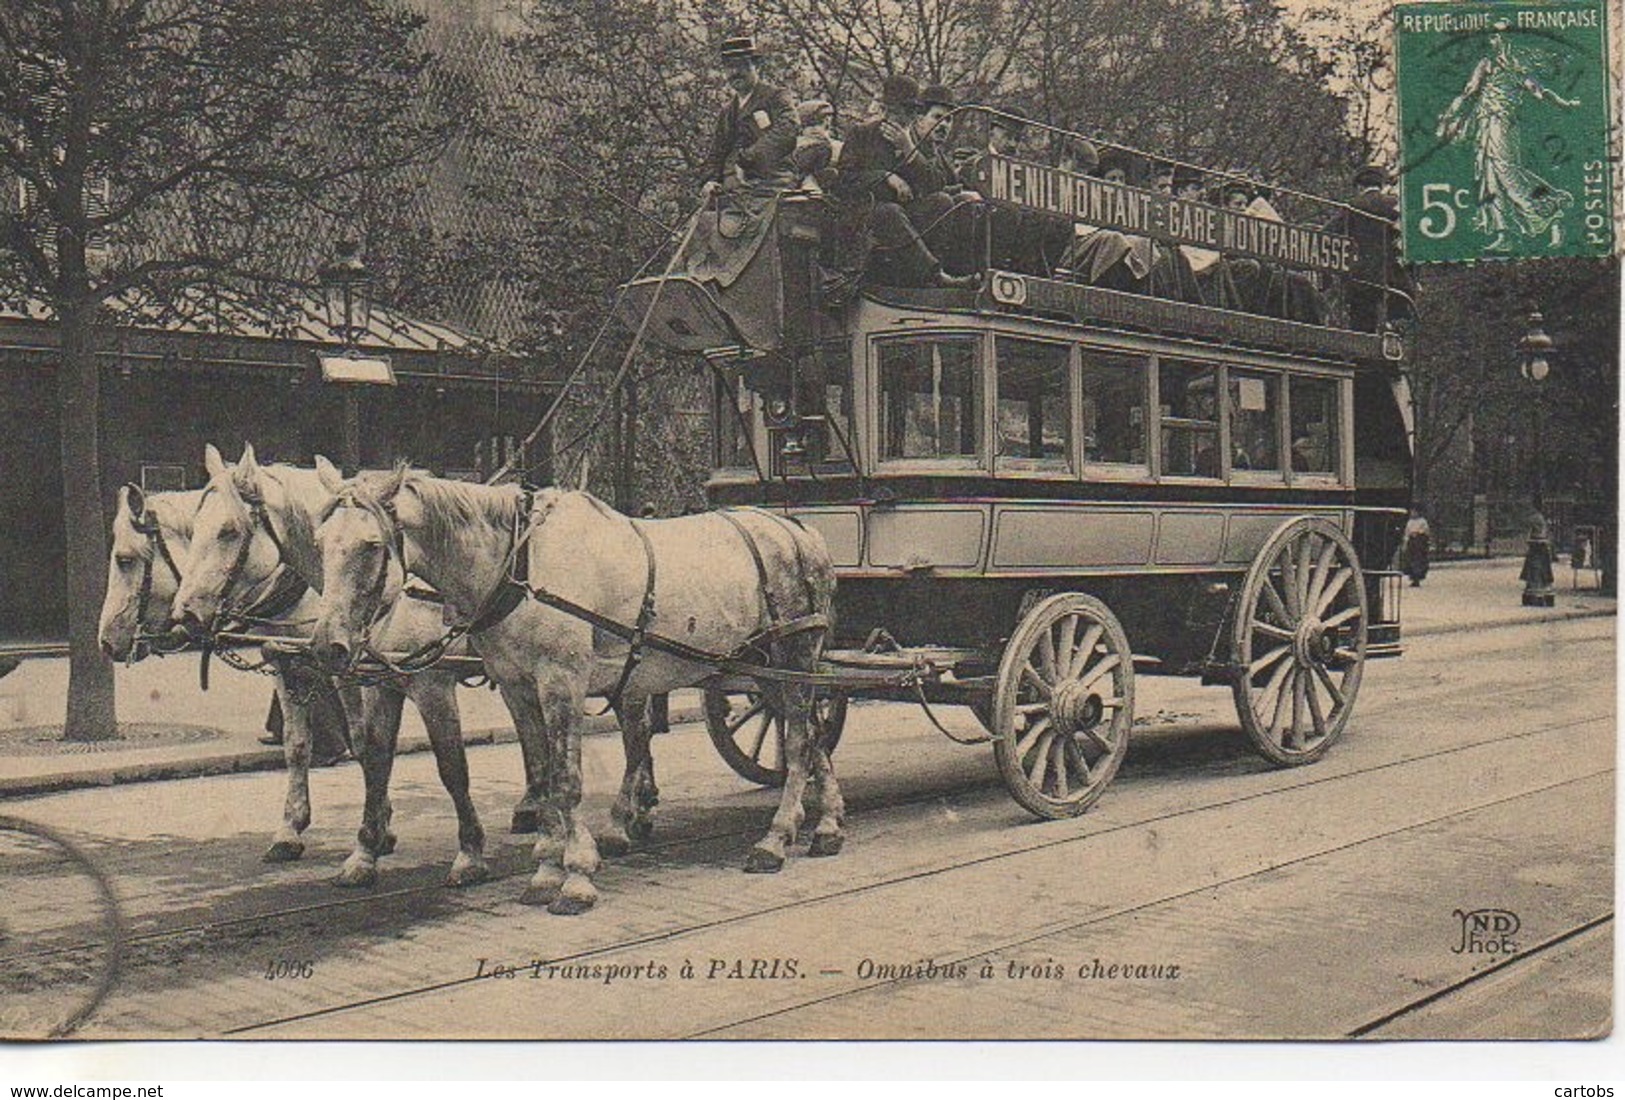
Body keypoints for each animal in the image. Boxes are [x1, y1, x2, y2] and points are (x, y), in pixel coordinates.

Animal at [168, 445, 507, 883]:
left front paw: (461, 851)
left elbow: (444, 763)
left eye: (228, 530)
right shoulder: (319, 674)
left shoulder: (427, 685)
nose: (185, 614)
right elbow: (314, 747)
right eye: (194, 529)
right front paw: (300, 833)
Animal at [305, 467, 845, 916]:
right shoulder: (518, 688)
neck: (521, 566)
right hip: (767, 673)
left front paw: (576, 876)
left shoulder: (558, 683)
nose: (327, 647)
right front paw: (547, 867)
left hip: (795, 656)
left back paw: (775, 839)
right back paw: (826, 826)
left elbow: (563, 780)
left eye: (371, 545)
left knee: (799, 742)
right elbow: (540, 775)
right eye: (319, 541)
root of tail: (801, 532)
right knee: (809, 738)